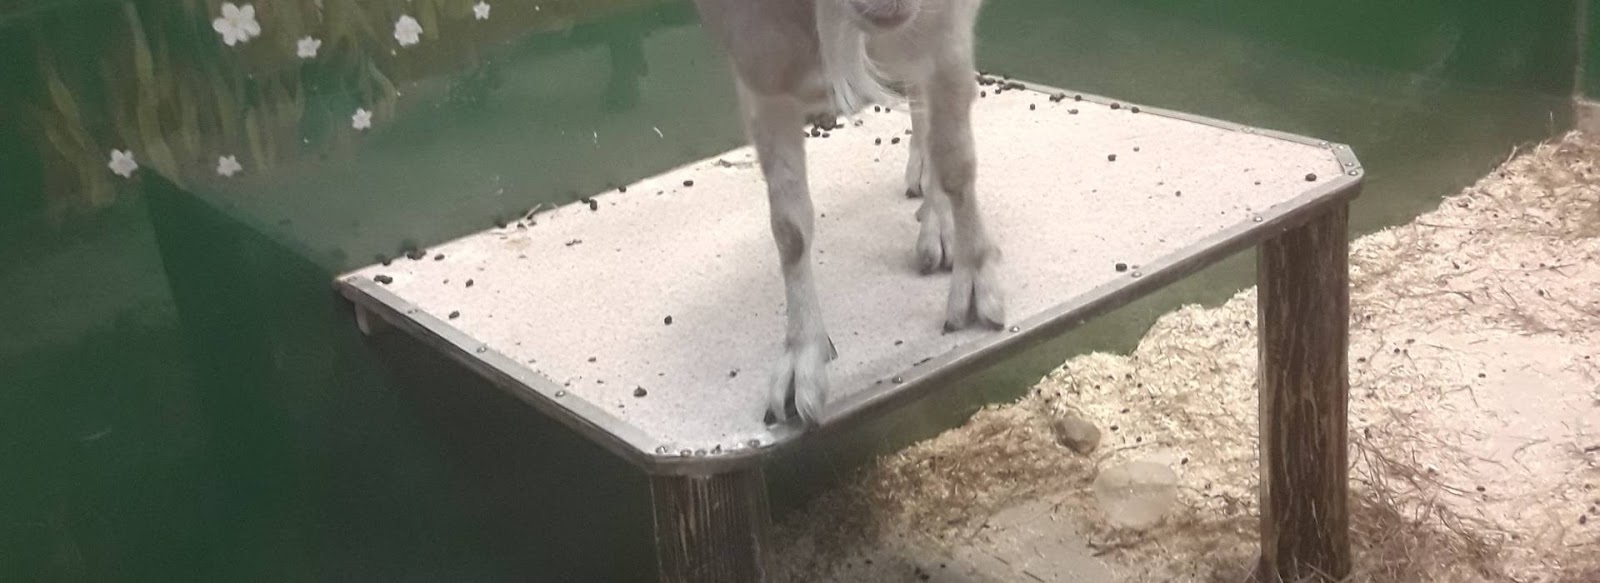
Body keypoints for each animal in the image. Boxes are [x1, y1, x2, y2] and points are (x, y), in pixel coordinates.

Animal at [692, 0, 1004, 428]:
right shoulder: (759, 61)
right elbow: (789, 227)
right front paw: (801, 365)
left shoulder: (946, 29)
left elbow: (957, 162)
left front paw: (977, 291)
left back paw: (937, 230)